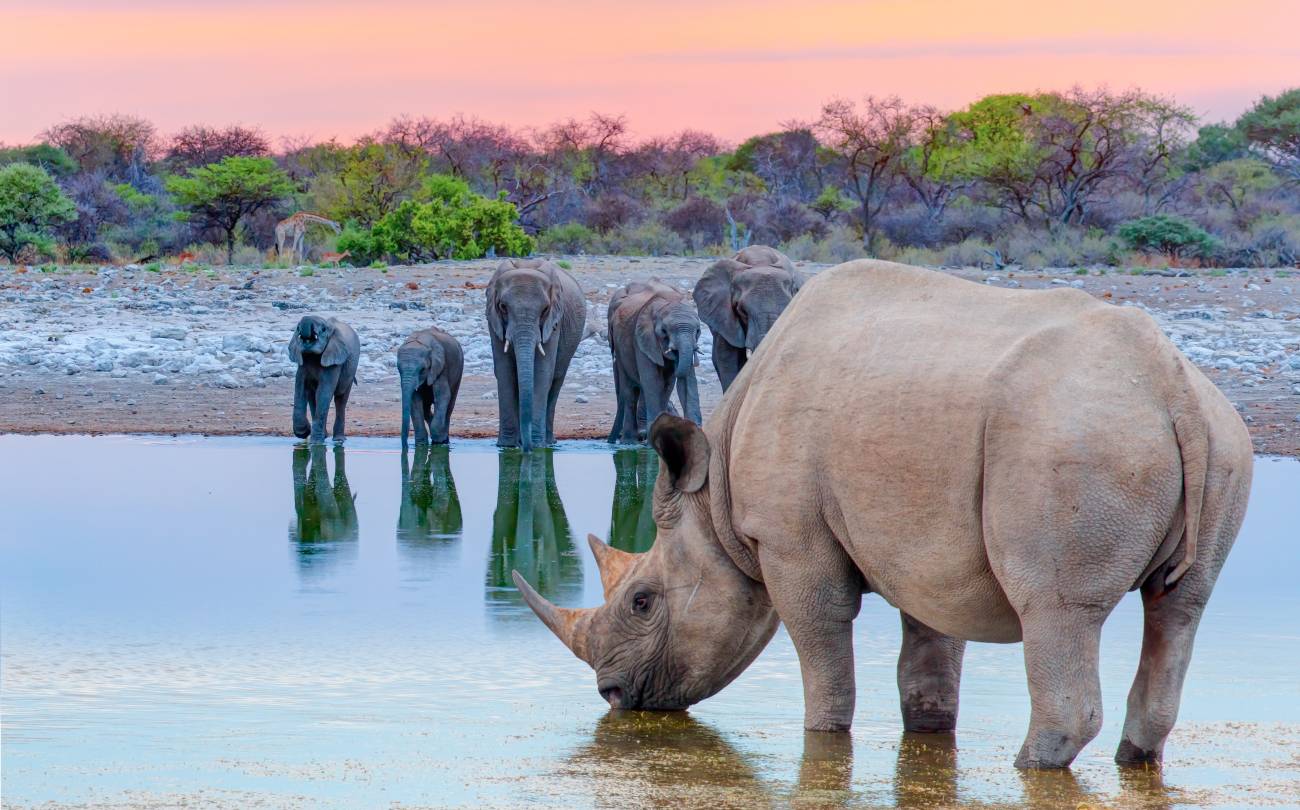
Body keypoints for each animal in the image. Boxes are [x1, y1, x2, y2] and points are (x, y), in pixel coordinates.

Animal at [288, 315, 361, 443]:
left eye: (323, 329)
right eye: (297, 328)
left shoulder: (334, 361)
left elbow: (324, 392)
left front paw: (315, 442)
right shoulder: (302, 362)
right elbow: (300, 388)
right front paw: (304, 432)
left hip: (350, 371)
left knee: (340, 399)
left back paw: (338, 440)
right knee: (312, 397)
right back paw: (325, 436)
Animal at [486, 259, 587, 452]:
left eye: (545, 309)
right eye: (503, 307)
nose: (527, 449)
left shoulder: (554, 323)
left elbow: (542, 373)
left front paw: (537, 446)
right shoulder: (494, 322)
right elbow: (504, 372)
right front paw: (507, 446)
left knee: (555, 383)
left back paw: (548, 442)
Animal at [606, 279, 703, 444]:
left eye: (698, 331)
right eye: (664, 331)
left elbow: (685, 382)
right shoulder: (642, 339)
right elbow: (652, 380)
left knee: (665, 387)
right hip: (621, 349)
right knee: (630, 392)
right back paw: (629, 442)